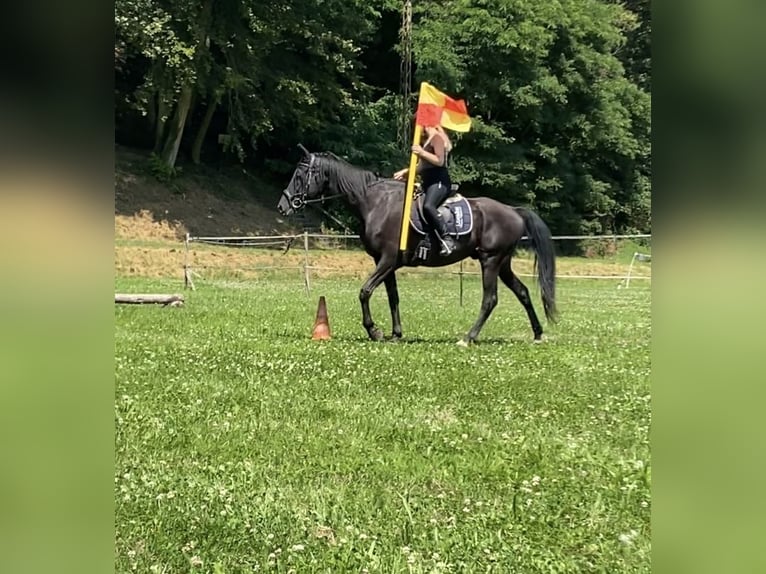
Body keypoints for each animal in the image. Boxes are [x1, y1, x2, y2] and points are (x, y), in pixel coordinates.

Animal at [278, 148, 560, 346]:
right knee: (523, 292)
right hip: (502, 263)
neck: (375, 202)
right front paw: (395, 334)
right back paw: (538, 334)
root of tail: (513, 211)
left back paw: (468, 338)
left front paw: (374, 331)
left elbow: (365, 292)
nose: (283, 205)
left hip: (490, 261)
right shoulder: (384, 262)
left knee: (490, 300)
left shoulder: (388, 259)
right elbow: (393, 297)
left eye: (300, 174)